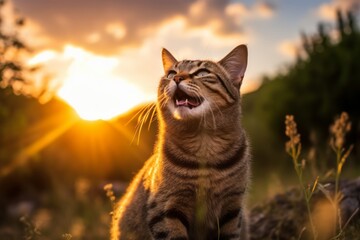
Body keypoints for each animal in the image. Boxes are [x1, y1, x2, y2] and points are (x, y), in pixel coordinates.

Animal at [112, 45, 250, 240]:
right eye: (171, 73)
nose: (177, 78)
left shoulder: (232, 208)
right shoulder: (165, 209)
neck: (204, 144)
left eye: (202, 73)